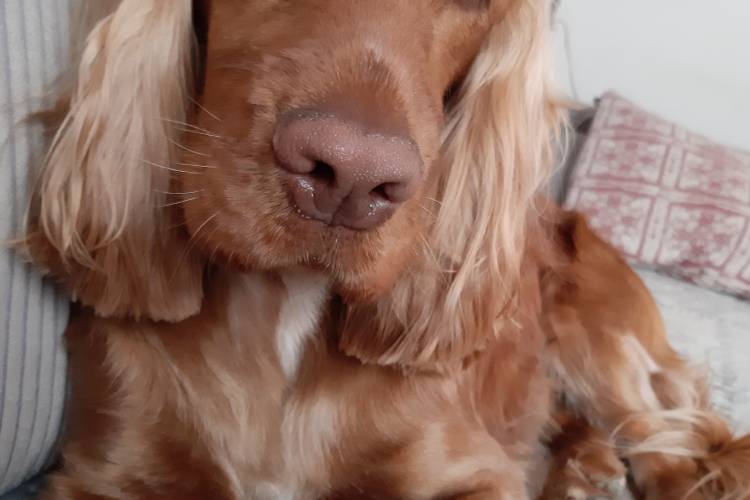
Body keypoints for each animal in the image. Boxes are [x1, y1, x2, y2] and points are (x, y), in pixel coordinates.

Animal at [22, 0, 750, 498]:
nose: (350, 178)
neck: (287, 308)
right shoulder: (107, 470)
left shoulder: (471, 472)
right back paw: (581, 466)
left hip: (593, 337)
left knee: (665, 449)